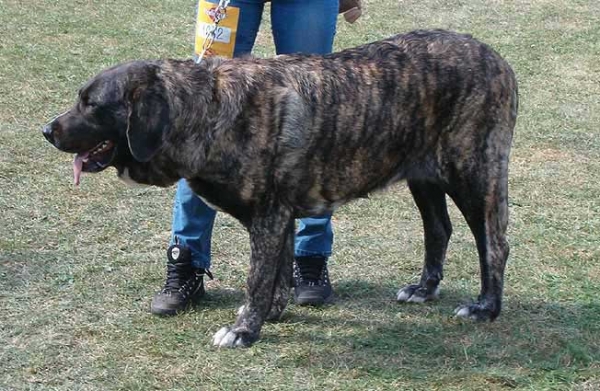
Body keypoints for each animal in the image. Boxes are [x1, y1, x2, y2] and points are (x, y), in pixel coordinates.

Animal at [44, 30, 516, 350]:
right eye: (81, 99)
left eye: (92, 105)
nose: (47, 130)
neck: (208, 111)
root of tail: (498, 60)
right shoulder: (282, 216)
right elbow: (278, 273)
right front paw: (271, 314)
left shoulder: (269, 216)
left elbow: (258, 276)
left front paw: (244, 330)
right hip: (425, 177)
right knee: (438, 230)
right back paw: (424, 289)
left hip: (473, 175)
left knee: (494, 243)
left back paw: (485, 308)